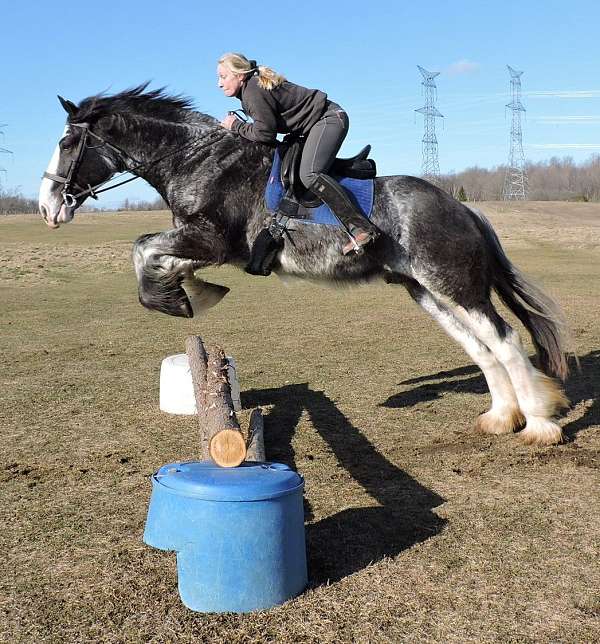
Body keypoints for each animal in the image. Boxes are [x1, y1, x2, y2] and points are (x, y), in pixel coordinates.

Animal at [38, 85, 572, 446]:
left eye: (66, 145)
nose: (47, 207)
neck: (198, 160)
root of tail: (463, 207)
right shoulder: (198, 242)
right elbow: (151, 252)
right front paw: (189, 289)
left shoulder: (212, 241)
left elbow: (143, 247)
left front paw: (176, 299)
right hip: (425, 290)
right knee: (481, 348)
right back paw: (501, 417)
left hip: (456, 284)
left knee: (505, 340)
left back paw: (539, 425)